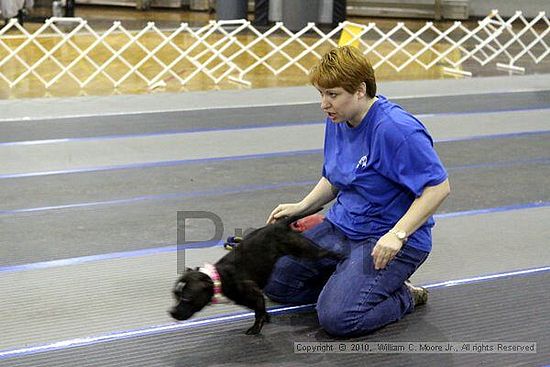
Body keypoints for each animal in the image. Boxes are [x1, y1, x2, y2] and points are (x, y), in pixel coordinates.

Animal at [170, 208, 338, 334]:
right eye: (175, 296)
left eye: (186, 299)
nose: (171, 312)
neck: (218, 278)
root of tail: (279, 224)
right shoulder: (249, 298)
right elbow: (259, 309)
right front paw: (266, 317)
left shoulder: (253, 294)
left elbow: (258, 311)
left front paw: (256, 327)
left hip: (303, 249)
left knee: (324, 252)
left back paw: (340, 256)